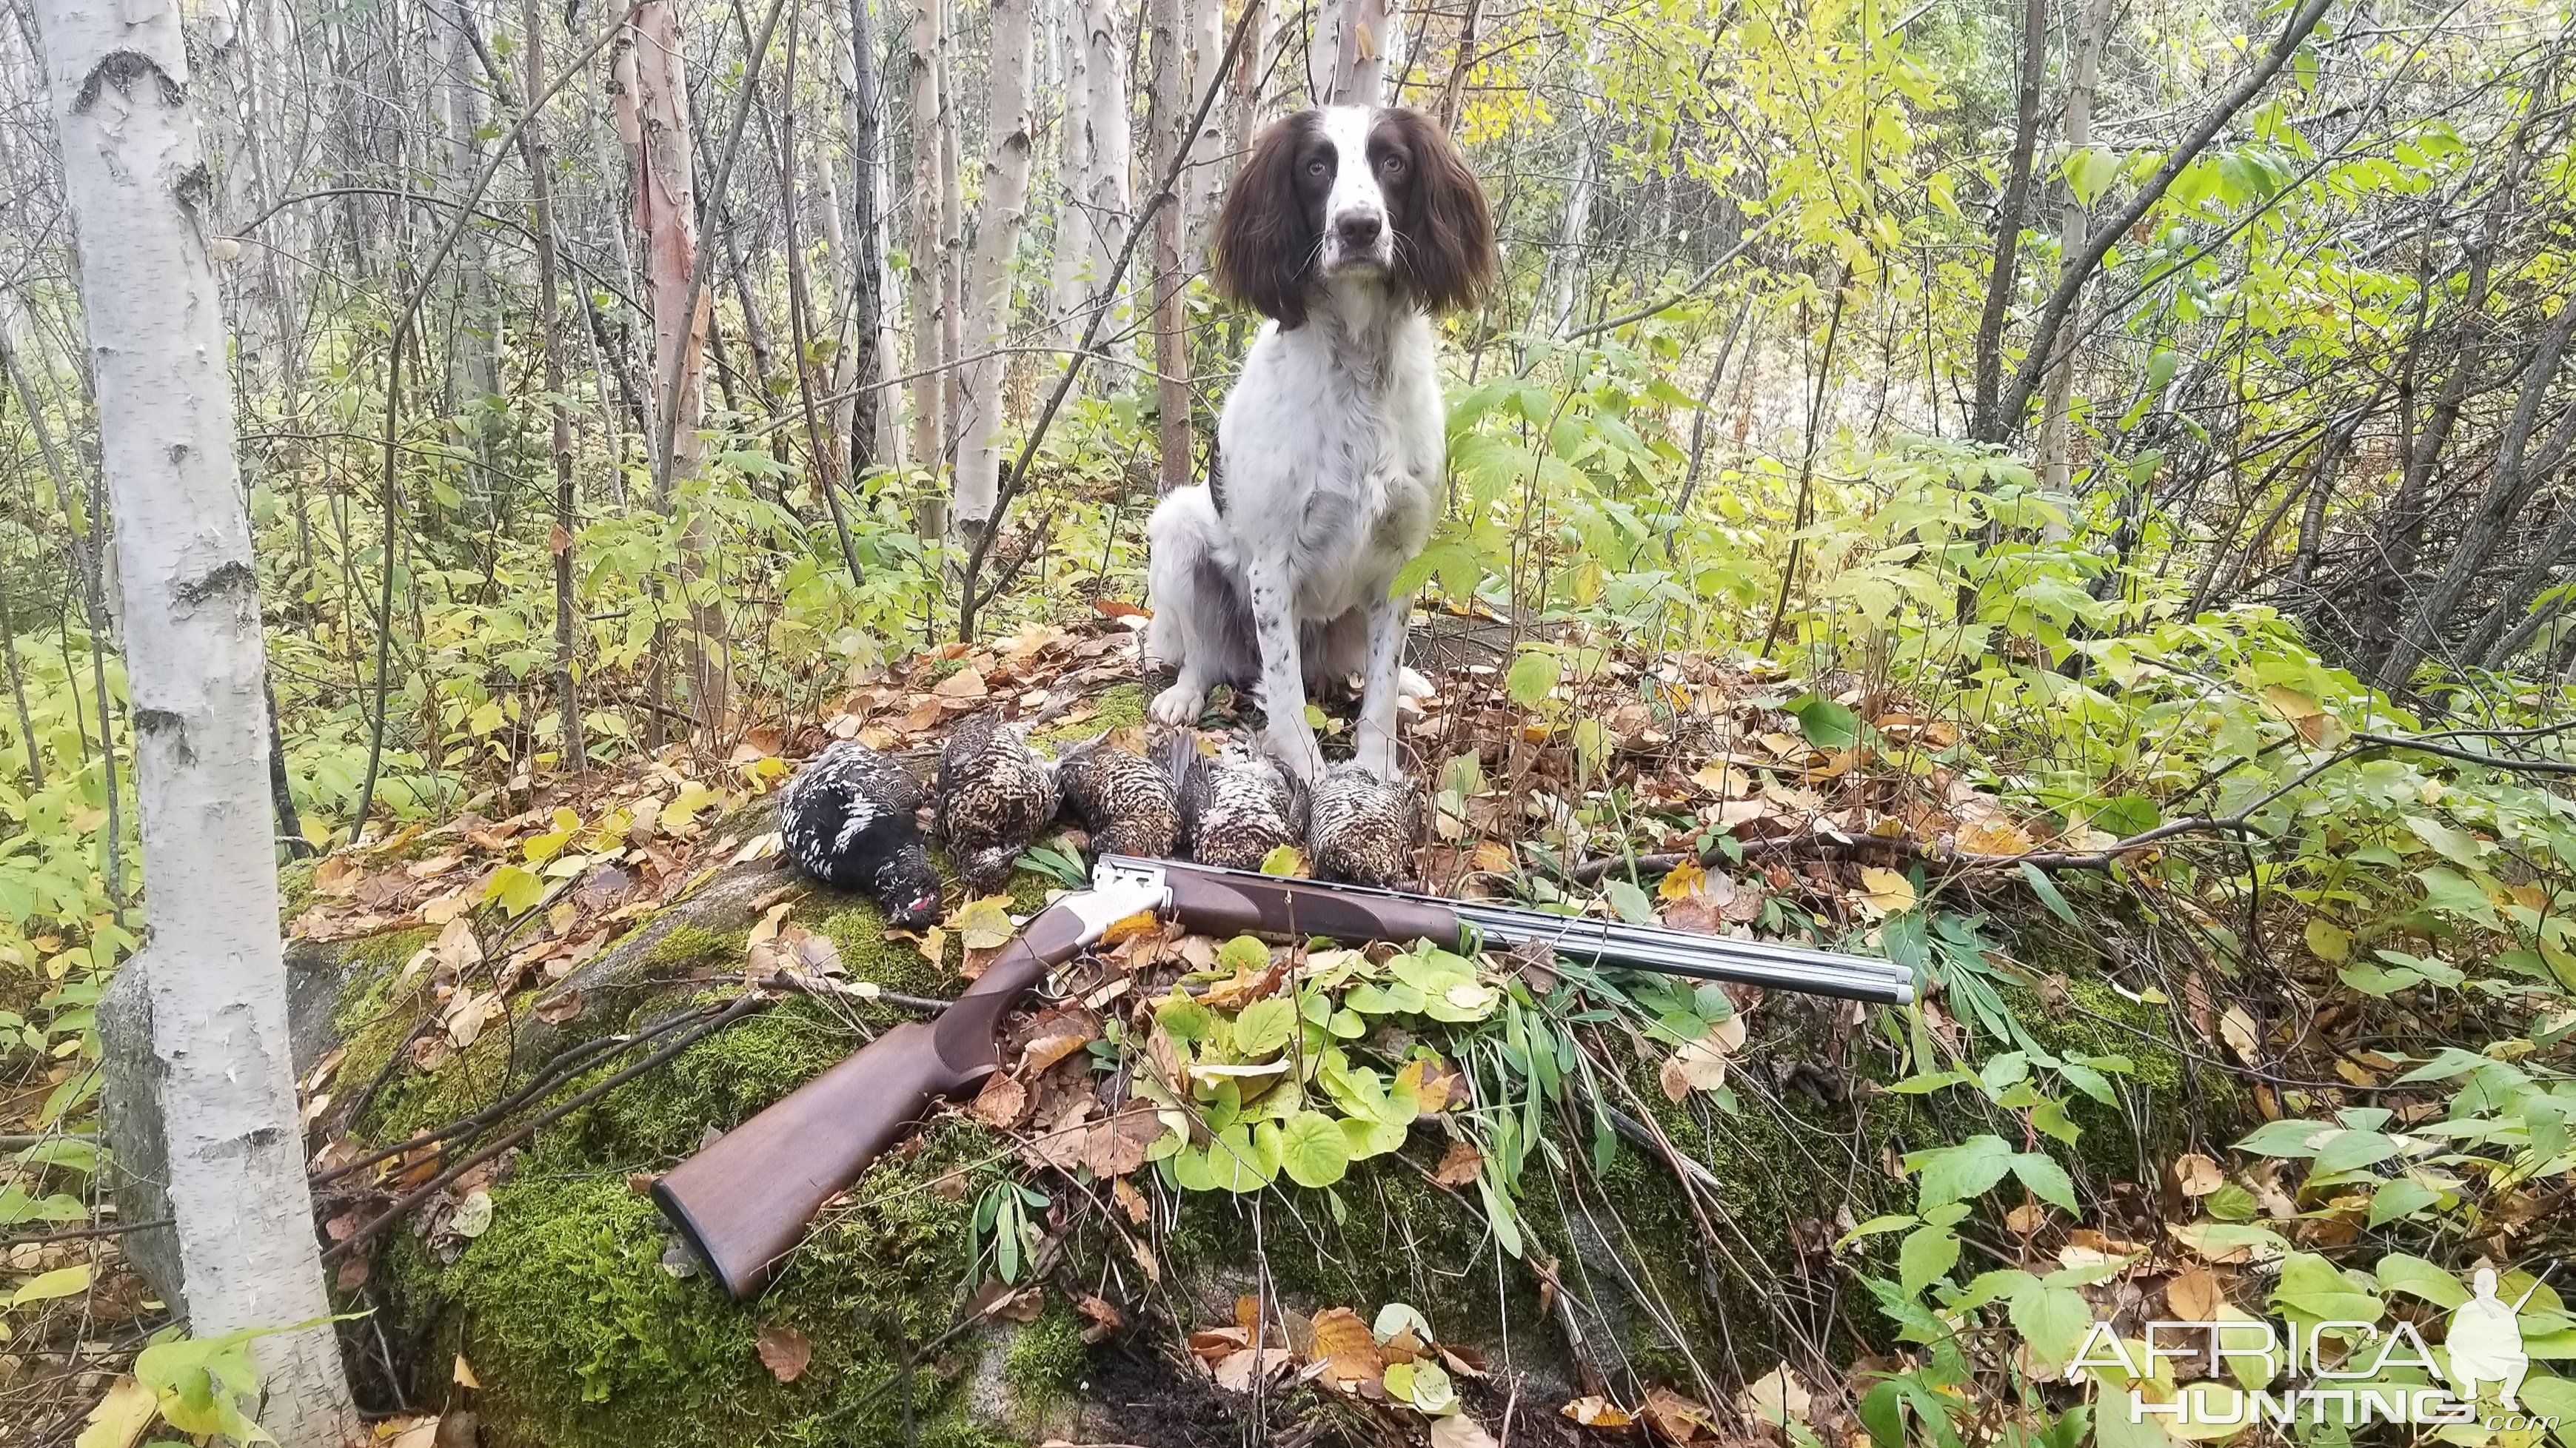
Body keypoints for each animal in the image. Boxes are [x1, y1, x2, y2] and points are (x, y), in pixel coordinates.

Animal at [1143, 104, 1493, 778]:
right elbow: (1283, 691)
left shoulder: (1400, 561)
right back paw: (1183, 695)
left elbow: (1378, 691)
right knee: (1203, 656)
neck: (1355, 368)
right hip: (1178, 531)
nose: (1359, 227)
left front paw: (1375, 772)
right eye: (1314, 167)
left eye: (1393, 162)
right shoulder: (1271, 566)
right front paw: (1309, 775)